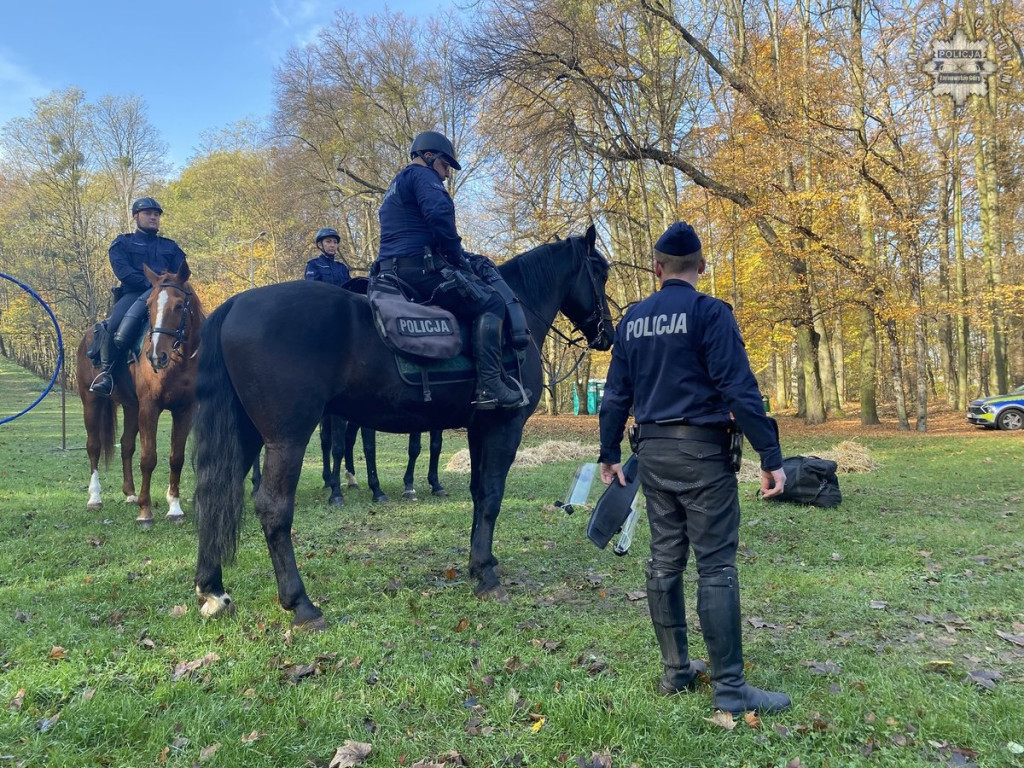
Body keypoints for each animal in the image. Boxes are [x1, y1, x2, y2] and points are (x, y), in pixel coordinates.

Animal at [75, 262, 203, 528]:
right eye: (149, 305)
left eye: (179, 305)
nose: (156, 356)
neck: (178, 362)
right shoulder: (149, 407)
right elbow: (148, 458)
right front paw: (145, 512)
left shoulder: (184, 410)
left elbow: (176, 458)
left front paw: (174, 509)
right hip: (91, 401)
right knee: (93, 446)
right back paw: (95, 498)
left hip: (131, 407)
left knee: (126, 445)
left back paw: (131, 494)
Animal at [192, 225, 610, 626]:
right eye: (600, 272)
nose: (606, 333)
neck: (513, 311)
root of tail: (235, 304)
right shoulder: (505, 427)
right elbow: (492, 497)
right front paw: (486, 576)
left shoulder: (479, 427)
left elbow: (478, 494)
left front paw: (480, 563)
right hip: (287, 438)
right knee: (274, 508)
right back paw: (301, 605)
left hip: (247, 435)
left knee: (214, 494)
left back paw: (212, 589)